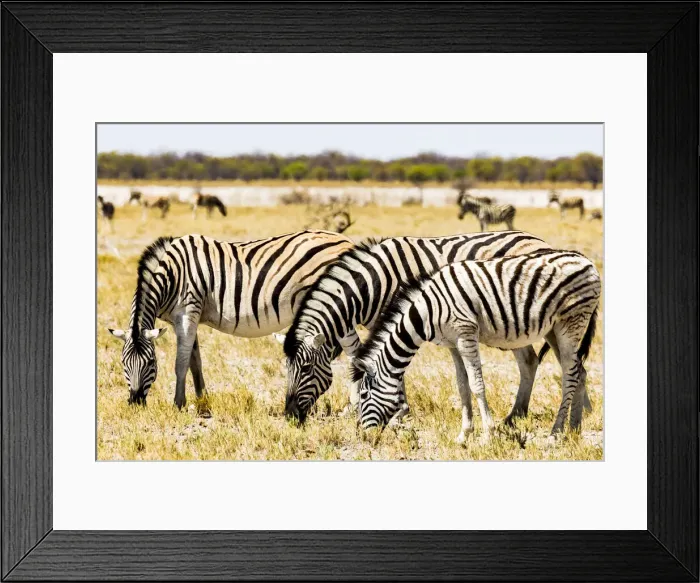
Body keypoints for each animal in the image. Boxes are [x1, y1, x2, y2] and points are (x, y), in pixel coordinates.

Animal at [108, 230, 354, 409]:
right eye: (123, 363)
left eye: (151, 363)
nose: (135, 403)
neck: (173, 275)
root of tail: (346, 241)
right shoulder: (189, 318)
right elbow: (195, 362)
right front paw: (202, 399)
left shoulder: (188, 312)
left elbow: (181, 363)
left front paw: (179, 404)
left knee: (354, 351)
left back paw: (351, 407)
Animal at [276, 231, 592, 424]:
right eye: (287, 369)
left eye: (306, 369)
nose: (289, 415)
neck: (373, 283)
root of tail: (538, 240)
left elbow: (391, 364)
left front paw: (399, 411)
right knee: (537, 362)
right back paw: (522, 414)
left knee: (566, 364)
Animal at [350, 249, 601, 440]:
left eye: (363, 395)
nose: (363, 435)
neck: (428, 311)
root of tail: (585, 260)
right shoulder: (452, 344)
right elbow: (462, 386)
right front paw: (464, 434)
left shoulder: (466, 334)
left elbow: (477, 385)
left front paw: (488, 434)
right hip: (553, 330)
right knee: (579, 371)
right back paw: (574, 429)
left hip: (571, 323)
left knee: (570, 375)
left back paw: (556, 433)